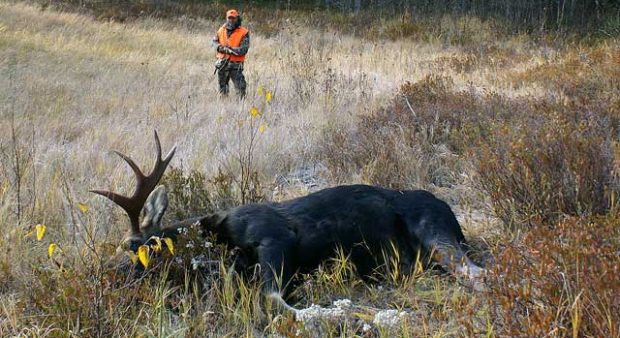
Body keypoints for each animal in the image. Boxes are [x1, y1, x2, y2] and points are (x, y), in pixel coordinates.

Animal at [92, 131, 484, 310]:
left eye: (133, 246)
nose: (109, 278)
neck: (214, 240)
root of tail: (450, 210)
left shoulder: (274, 237)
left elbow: (273, 299)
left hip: (435, 233)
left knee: (477, 273)